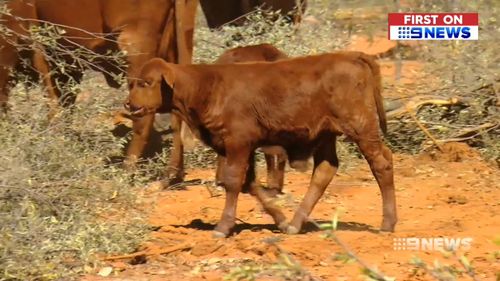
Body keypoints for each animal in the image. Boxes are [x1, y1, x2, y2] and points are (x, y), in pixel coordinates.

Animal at [126, 50, 398, 236]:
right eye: (132, 83)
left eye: (146, 82)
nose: (129, 104)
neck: (208, 86)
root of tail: (350, 55)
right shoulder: (239, 146)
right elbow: (249, 183)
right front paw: (280, 219)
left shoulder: (238, 142)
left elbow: (233, 181)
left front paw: (223, 226)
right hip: (326, 134)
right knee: (324, 170)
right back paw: (295, 224)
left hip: (361, 127)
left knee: (381, 162)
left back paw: (387, 223)